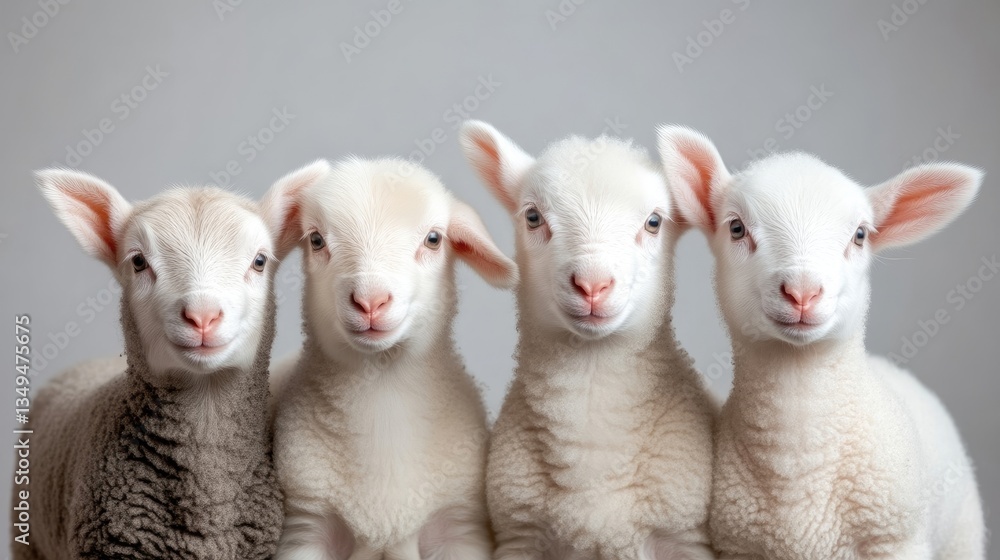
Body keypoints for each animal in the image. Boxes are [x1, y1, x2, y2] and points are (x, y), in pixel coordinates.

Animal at [269, 156, 519, 560]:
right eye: (316, 240)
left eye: (433, 239)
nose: (370, 301)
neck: (384, 387)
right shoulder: (306, 525)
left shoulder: (460, 526)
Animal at [657, 125, 986, 560]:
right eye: (736, 228)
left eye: (860, 235)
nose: (802, 292)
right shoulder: (740, 546)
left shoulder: (896, 540)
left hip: (963, 531)